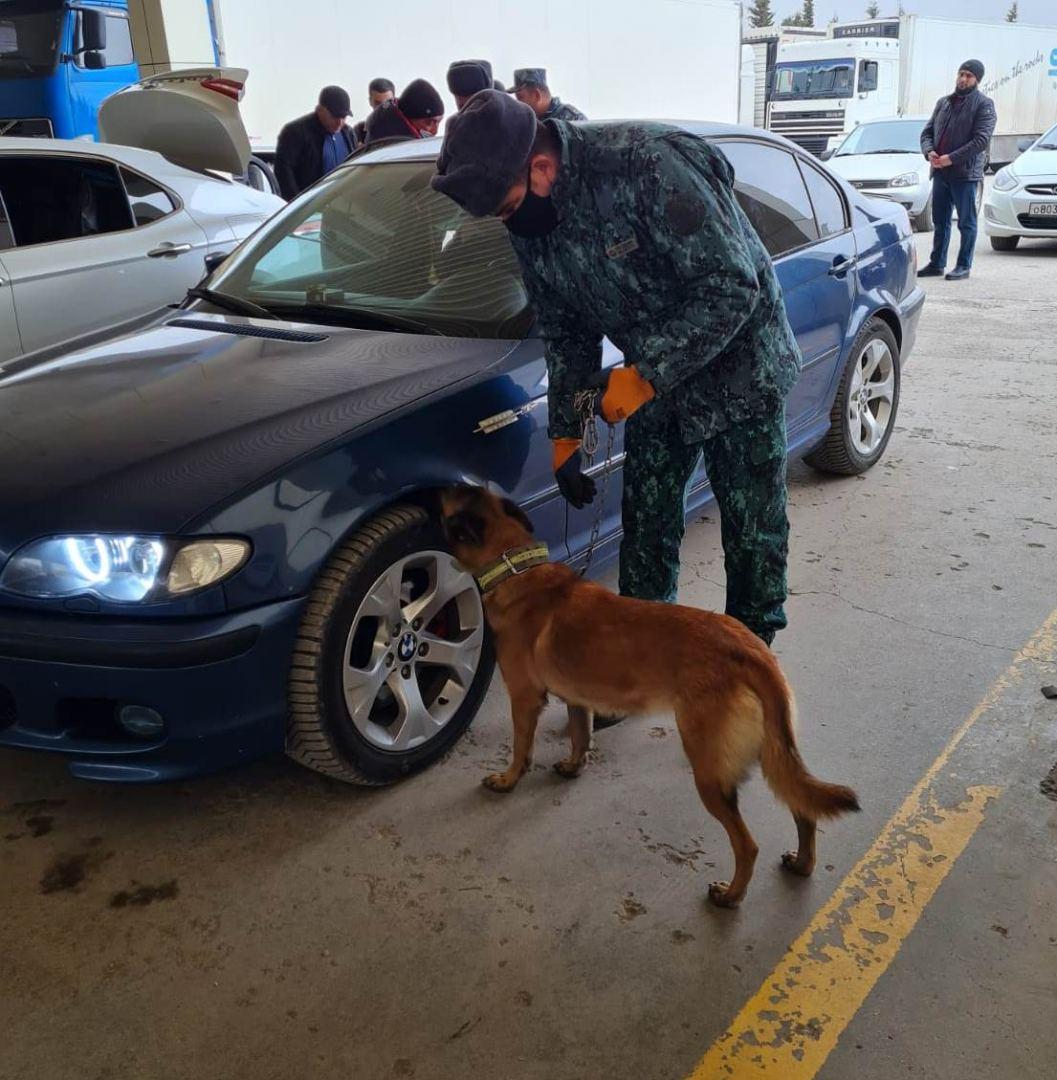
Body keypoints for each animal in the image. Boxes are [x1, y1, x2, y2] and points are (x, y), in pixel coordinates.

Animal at [438, 486, 859, 907]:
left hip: (709, 771)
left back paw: (730, 895)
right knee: (802, 807)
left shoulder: (524, 699)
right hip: (770, 750)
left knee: (748, 845)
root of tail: (750, 649)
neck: (516, 566)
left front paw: (508, 780)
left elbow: (520, 749)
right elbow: (580, 736)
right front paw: (573, 766)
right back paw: (802, 863)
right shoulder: (577, 699)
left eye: (450, 501)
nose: (435, 490)